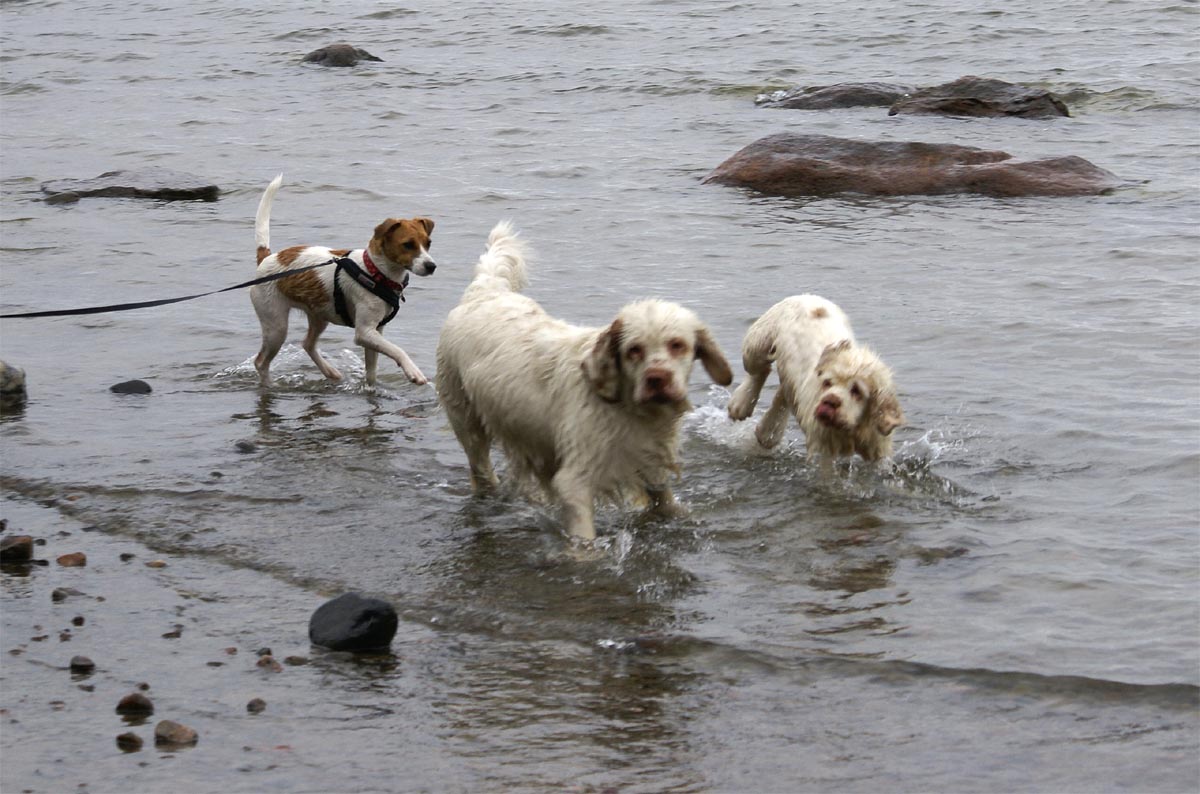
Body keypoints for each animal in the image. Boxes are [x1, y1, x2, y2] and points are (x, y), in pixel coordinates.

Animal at [250, 174, 436, 386]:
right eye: (408, 245)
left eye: (428, 243)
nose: (431, 266)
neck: (375, 272)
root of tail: (267, 258)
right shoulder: (364, 333)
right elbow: (398, 349)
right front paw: (413, 371)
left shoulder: (376, 331)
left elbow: (371, 372)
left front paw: (371, 387)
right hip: (276, 326)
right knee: (261, 362)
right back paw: (269, 385)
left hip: (318, 315)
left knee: (307, 344)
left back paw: (329, 371)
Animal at [435, 222, 734, 542]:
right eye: (634, 349)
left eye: (677, 345)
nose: (657, 378)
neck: (627, 408)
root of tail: (484, 292)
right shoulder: (576, 479)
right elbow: (584, 539)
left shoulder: (650, 459)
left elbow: (665, 500)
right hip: (466, 421)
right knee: (481, 468)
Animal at [727, 295, 903, 462]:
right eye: (827, 383)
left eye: (856, 390)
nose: (830, 401)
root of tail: (806, 297)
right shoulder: (821, 445)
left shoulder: (879, 447)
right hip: (758, 343)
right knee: (759, 371)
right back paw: (740, 404)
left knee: (783, 394)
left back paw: (767, 433)